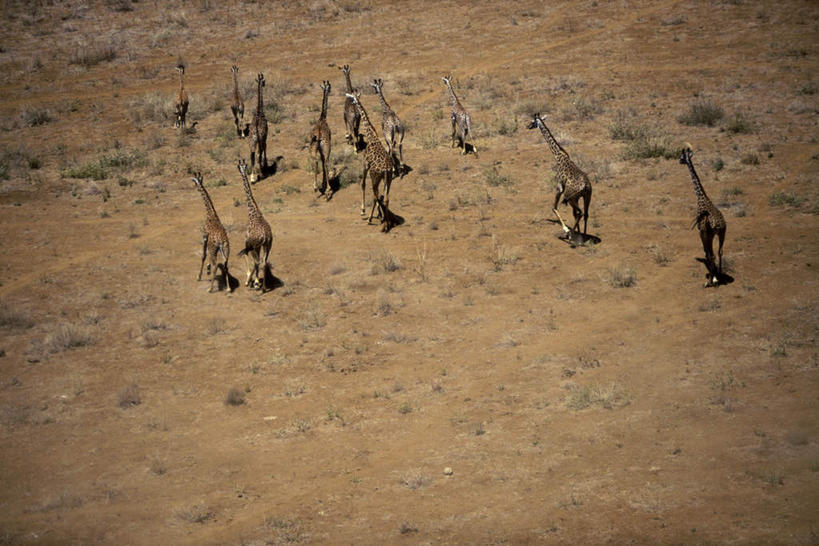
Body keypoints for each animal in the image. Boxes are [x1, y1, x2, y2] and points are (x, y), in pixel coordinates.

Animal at [235, 159, 274, 292]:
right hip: (268, 245)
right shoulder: (256, 246)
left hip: (255, 245)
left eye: (238, 166)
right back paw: (264, 287)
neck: (253, 212)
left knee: (257, 261)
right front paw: (256, 281)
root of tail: (266, 236)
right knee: (264, 262)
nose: (241, 169)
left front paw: (252, 281)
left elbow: (248, 257)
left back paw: (251, 283)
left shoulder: (247, 241)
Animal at [344, 91, 396, 230]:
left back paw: (370, 219)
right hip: (388, 178)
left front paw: (363, 210)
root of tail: (386, 169)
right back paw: (386, 223)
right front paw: (380, 215)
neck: (371, 136)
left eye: (353, 97)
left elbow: (362, 184)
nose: (348, 97)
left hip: (375, 177)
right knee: (385, 197)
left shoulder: (365, 164)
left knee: (375, 195)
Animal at [680, 142, 732, 286]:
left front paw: (712, 278)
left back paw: (710, 281)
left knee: (712, 254)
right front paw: (715, 276)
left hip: (711, 234)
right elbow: (709, 252)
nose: (679, 161)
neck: (702, 198)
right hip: (722, 233)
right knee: (720, 251)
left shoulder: (701, 232)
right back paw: (719, 276)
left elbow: (706, 252)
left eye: (682, 156)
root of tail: (719, 225)